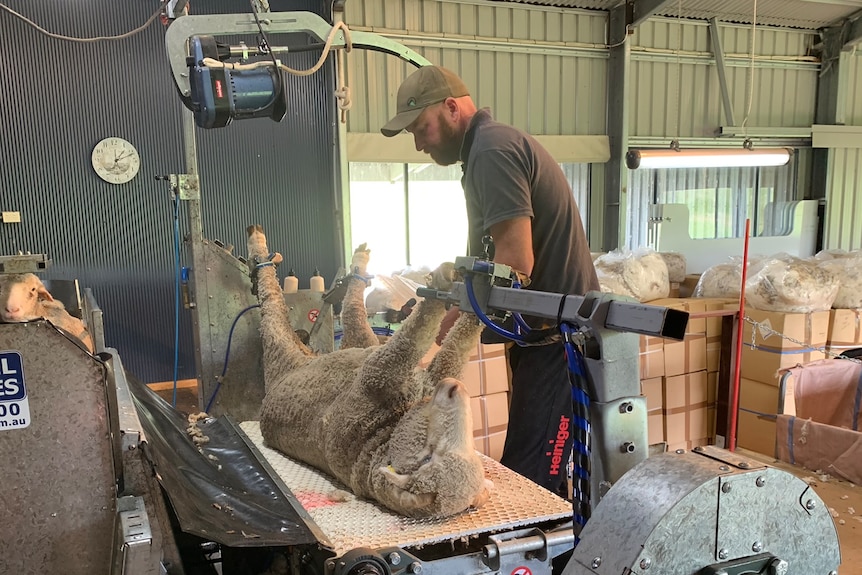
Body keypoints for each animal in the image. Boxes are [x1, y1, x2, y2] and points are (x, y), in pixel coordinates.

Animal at [250, 226, 492, 520]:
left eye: (428, 457)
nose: (454, 387)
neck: (384, 434)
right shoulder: (435, 372)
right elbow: (456, 346)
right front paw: (472, 293)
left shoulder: (376, 378)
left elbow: (412, 341)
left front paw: (447, 282)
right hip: (362, 342)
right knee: (354, 309)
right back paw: (358, 261)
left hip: (287, 352)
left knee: (284, 306)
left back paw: (260, 249)